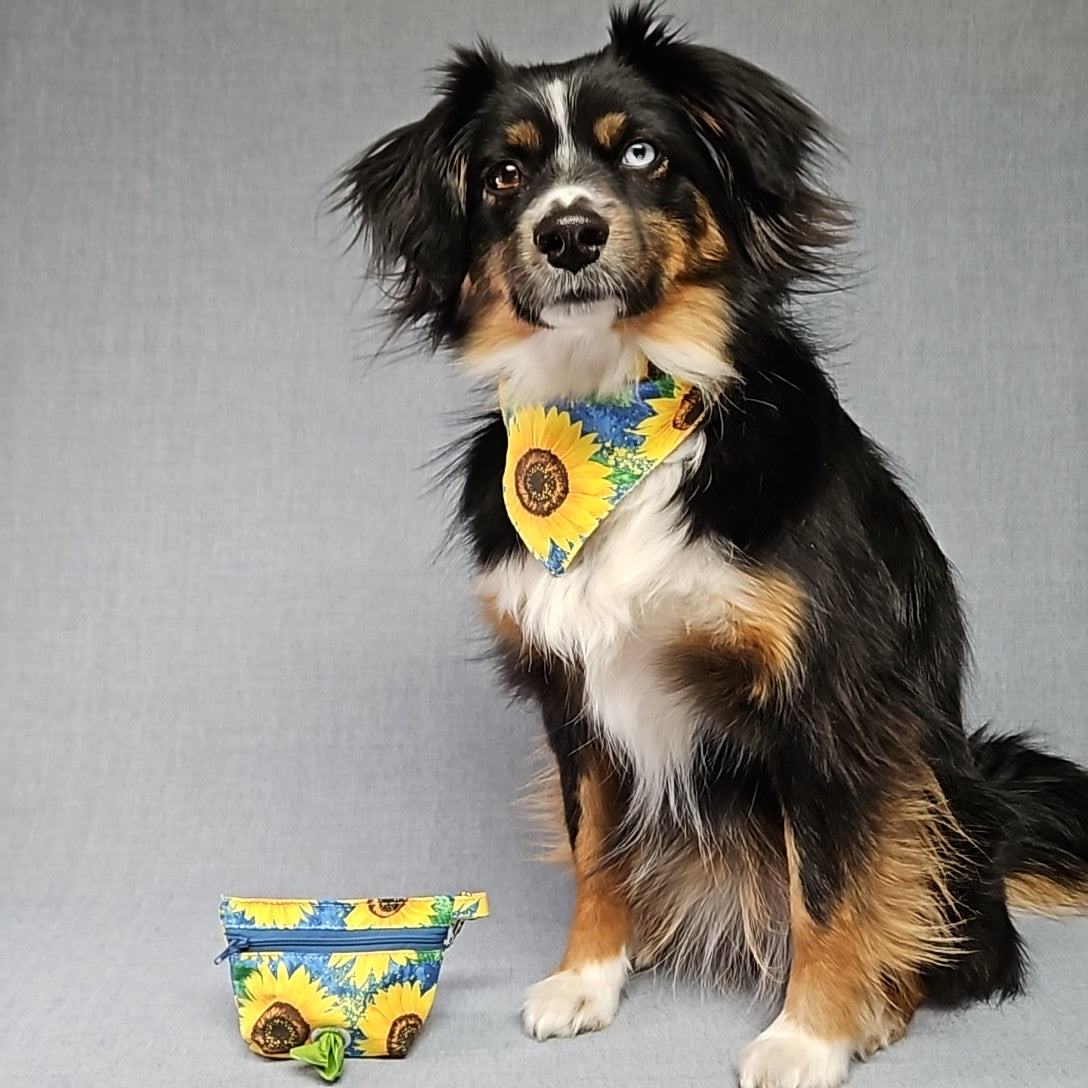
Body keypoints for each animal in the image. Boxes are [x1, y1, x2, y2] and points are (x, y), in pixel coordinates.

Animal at [332, 4, 1088, 1083]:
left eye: (642, 152)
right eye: (503, 174)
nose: (569, 232)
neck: (615, 415)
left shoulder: (825, 702)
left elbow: (829, 887)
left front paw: (808, 1034)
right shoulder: (573, 696)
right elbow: (595, 851)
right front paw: (587, 976)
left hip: (933, 793)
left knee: (953, 936)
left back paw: (878, 1003)